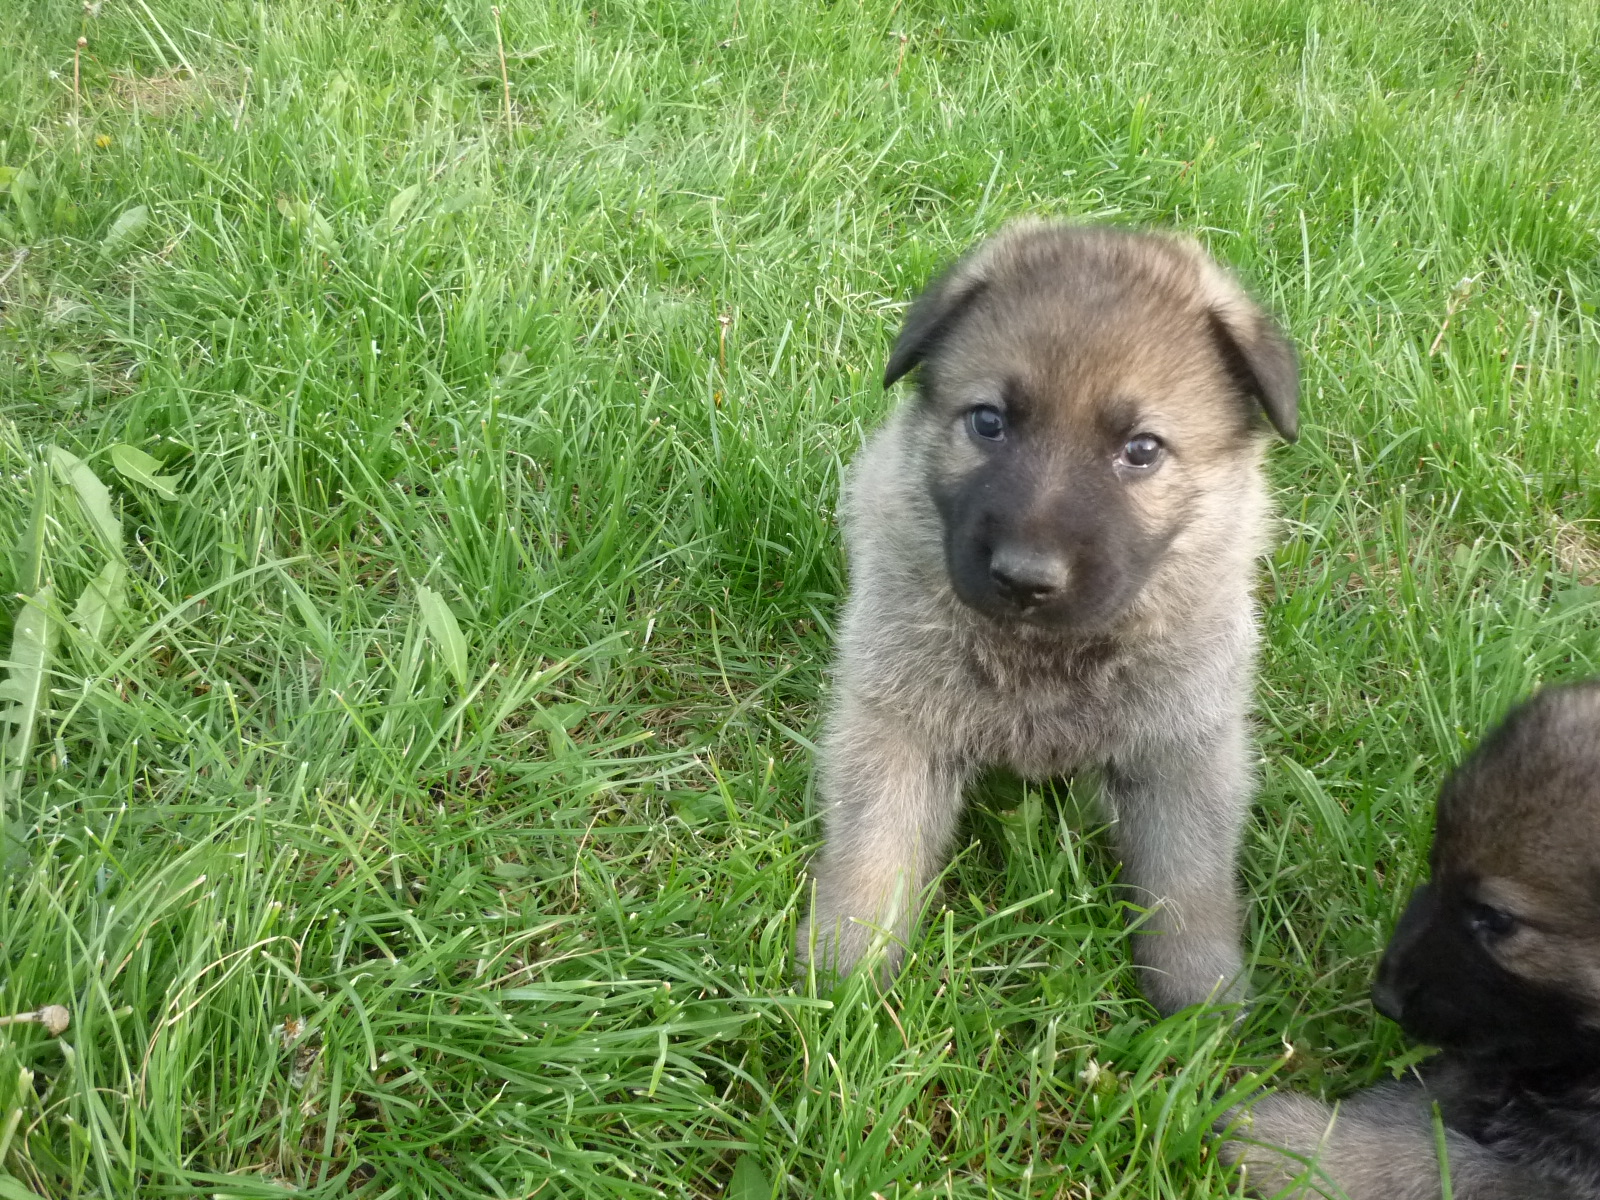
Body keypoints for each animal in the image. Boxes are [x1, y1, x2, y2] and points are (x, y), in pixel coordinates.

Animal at [795, 219, 1299, 1014]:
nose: (1025, 577)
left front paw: (1200, 1004)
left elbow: (1188, 882)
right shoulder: (897, 723)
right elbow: (877, 843)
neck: (1044, 652)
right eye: (989, 422)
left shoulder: (1182, 749)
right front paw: (847, 971)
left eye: (1142, 449)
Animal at [1223, 681, 1600, 1198]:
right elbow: (1420, 1098)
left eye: (1495, 918)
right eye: (1435, 868)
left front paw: (1284, 1142)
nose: (1385, 999)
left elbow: (1427, 1163)